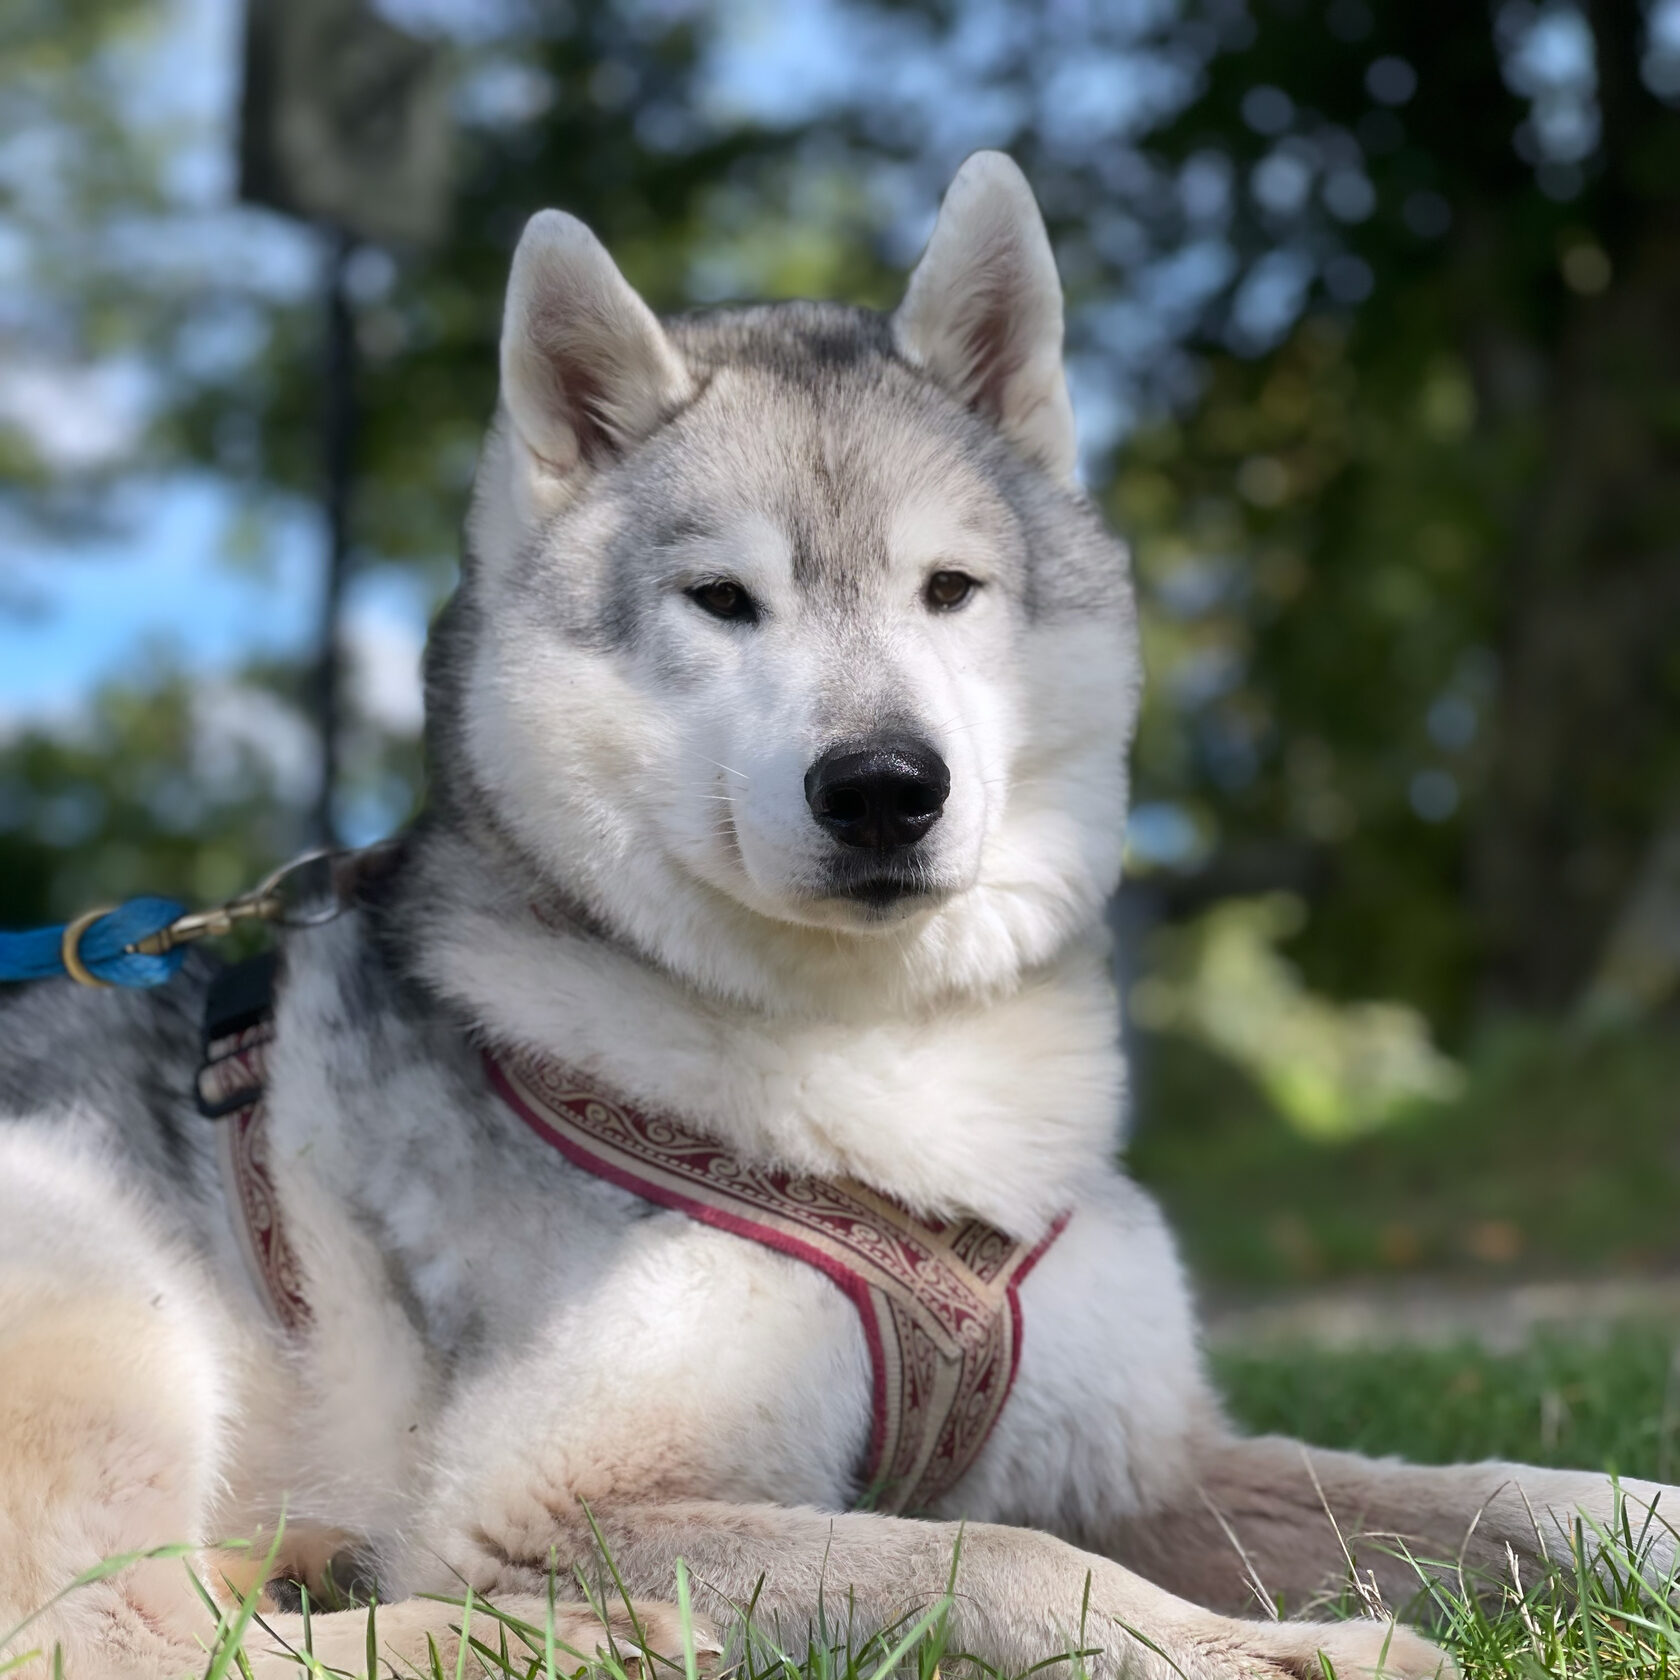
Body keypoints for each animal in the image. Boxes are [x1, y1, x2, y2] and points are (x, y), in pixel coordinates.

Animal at [0, 151, 1659, 1673]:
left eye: (951, 589)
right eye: (724, 602)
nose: (881, 787)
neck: (879, 1059)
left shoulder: (1144, 1459)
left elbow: (1526, 1493)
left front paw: (1634, 1518)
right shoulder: (546, 1501)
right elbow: (996, 1556)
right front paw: (1258, 1650)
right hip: (100, 1279)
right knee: (120, 1630)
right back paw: (583, 1637)